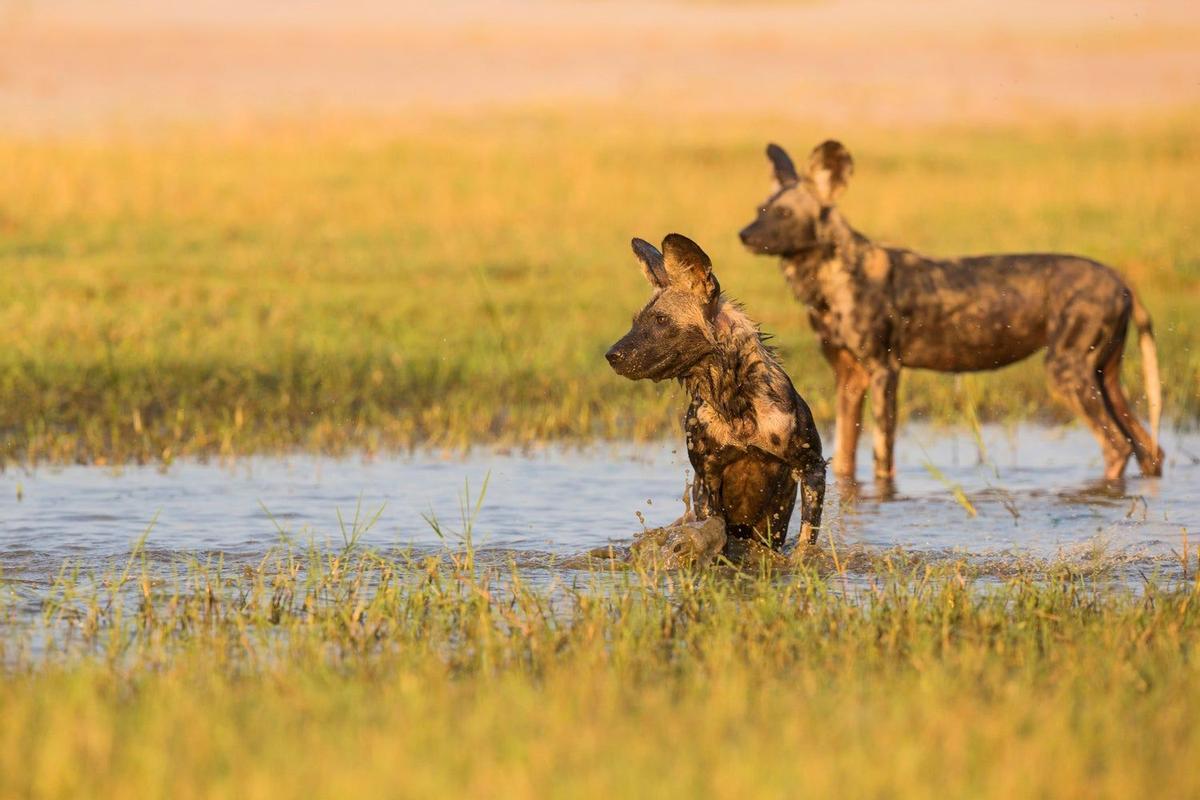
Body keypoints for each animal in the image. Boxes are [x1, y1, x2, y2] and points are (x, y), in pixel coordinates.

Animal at [609, 232, 825, 551]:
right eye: (636, 321)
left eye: (661, 320)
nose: (611, 355)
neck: (735, 403)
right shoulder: (706, 480)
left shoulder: (812, 467)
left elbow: (806, 541)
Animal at [739, 140, 1161, 482]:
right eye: (761, 209)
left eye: (785, 215)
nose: (744, 234)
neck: (831, 280)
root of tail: (1120, 280)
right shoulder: (849, 378)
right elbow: (844, 460)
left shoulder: (884, 371)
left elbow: (882, 459)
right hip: (1104, 377)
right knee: (1148, 449)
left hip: (1066, 371)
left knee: (1117, 446)